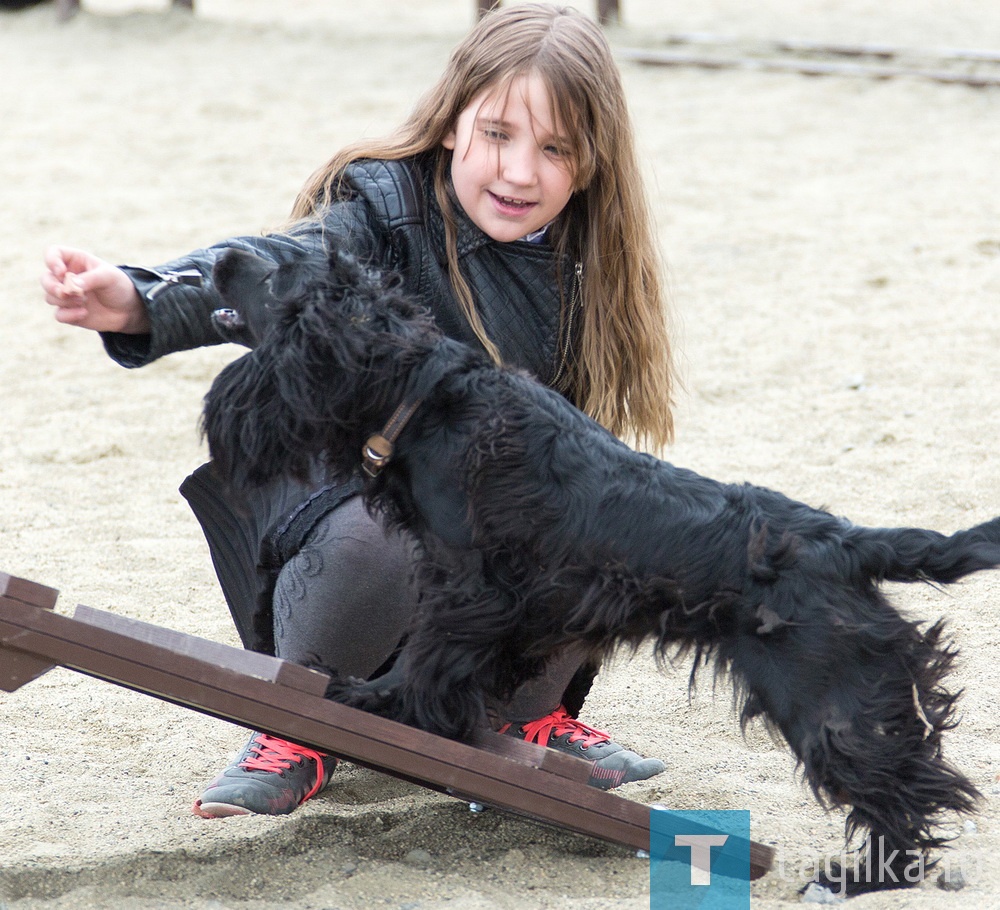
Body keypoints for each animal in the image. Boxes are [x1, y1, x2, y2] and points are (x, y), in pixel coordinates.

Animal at [201, 249, 992, 896]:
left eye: (273, 274)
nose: (219, 259)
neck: (429, 399)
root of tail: (846, 540)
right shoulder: (519, 606)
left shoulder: (468, 586)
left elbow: (426, 660)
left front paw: (376, 700)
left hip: (824, 696)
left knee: (908, 791)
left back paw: (854, 881)